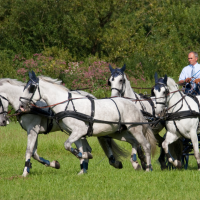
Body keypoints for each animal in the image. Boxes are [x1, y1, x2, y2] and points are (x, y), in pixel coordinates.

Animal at [0, 78, 130, 177]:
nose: (3, 121)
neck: (31, 107)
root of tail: (90, 96)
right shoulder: (33, 132)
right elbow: (34, 153)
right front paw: (53, 164)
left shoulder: (32, 130)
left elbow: (29, 151)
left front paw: (24, 173)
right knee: (87, 148)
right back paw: (84, 168)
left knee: (104, 141)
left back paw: (111, 162)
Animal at [19, 71, 156, 172]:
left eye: (31, 88)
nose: (21, 105)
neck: (66, 105)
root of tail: (133, 104)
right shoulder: (75, 134)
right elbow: (79, 149)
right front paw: (85, 159)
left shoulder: (79, 131)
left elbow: (67, 145)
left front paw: (86, 157)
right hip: (118, 132)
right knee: (134, 141)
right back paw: (135, 163)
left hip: (135, 128)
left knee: (146, 145)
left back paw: (148, 168)